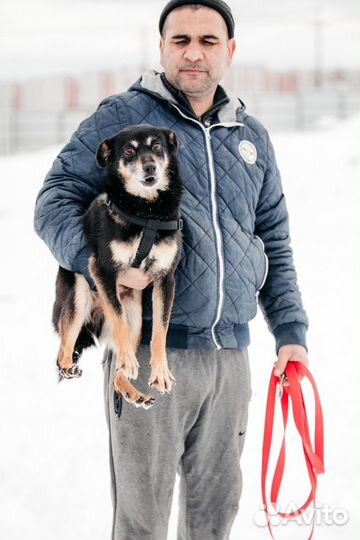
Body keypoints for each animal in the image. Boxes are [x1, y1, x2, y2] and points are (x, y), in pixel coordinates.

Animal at [52, 125, 183, 410]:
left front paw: (160, 371)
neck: (147, 212)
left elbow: (161, 330)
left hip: (137, 316)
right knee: (63, 350)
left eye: (157, 146)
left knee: (116, 377)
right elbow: (119, 319)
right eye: (129, 151)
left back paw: (134, 392)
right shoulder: (102, 270)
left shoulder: (165, 279)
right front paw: (127, 359)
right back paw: (72, 367)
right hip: (78, 295)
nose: (150, 167)